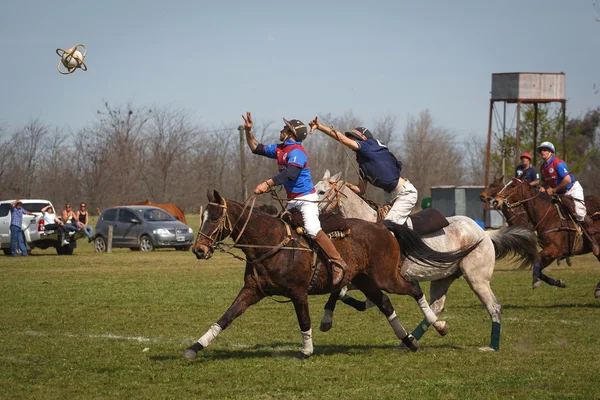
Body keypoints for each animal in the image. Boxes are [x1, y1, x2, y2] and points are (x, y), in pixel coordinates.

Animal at [184, 189, 482, 358]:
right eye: (202, 217)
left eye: (214, 218)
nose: (198, 250)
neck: (270, 243)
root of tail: (383, 226)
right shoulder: (251, 291)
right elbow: (226, 317)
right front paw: (195, 347)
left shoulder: (298, 293)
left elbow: (304, 320)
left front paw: (306, 350)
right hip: (366, 279)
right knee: (386, 304)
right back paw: (408, 341)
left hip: (386, 277)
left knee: (414, 290)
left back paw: (438, 325)